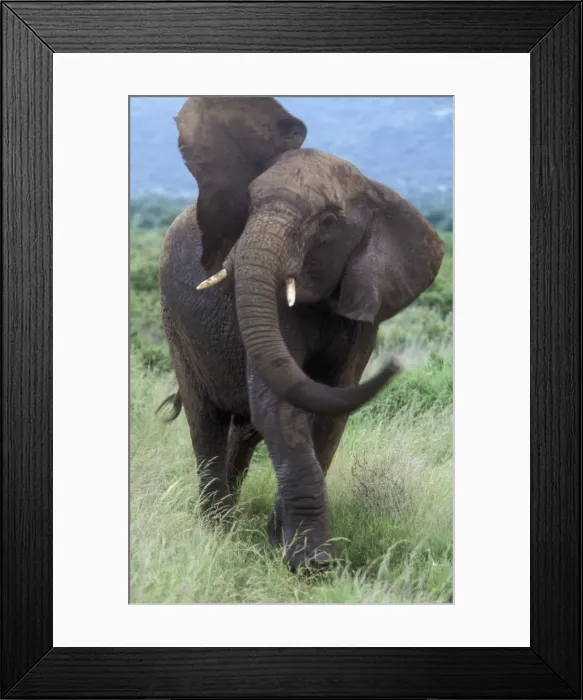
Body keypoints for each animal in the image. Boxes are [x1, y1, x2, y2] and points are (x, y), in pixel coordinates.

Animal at [157, 97, 444, 571]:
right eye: (248, 205)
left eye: (328, 220)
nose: (396, 364)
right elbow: (281, 403)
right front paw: (312, 564)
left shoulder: (362, 303)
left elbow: (329, 407)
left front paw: (287, 547)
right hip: (176, 326)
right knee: (206, 421)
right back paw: (218, 531)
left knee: (244, 431)